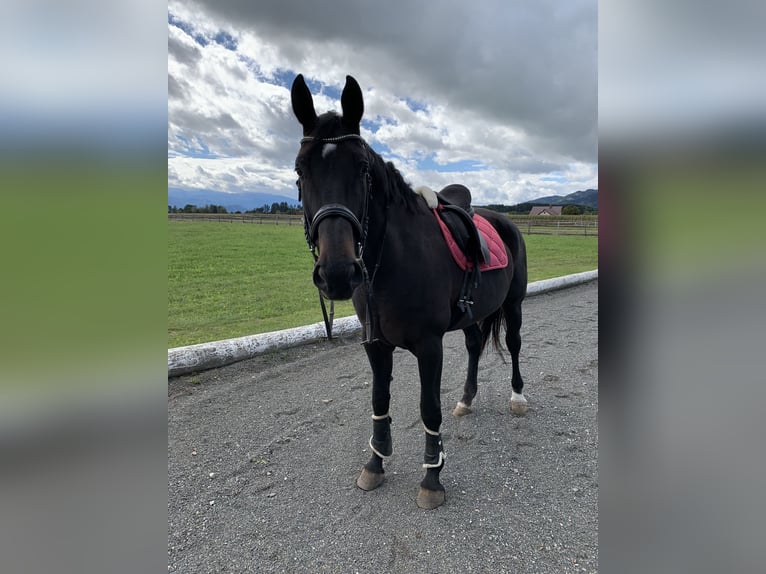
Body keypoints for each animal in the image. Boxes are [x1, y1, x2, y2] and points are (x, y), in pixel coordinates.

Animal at [292, 74, 532, 510]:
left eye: (362, 169)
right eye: (301, 170)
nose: (337, 273)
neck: (391, 265)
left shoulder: (429, 345)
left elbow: (428, 408)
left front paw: (432, 478)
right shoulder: (375, 344)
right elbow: (379, 401)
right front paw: (375, 464)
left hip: (514, 304)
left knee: (515, 343)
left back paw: (518, 397)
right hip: (473, 314)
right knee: (474, 345)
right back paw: (467, 399)